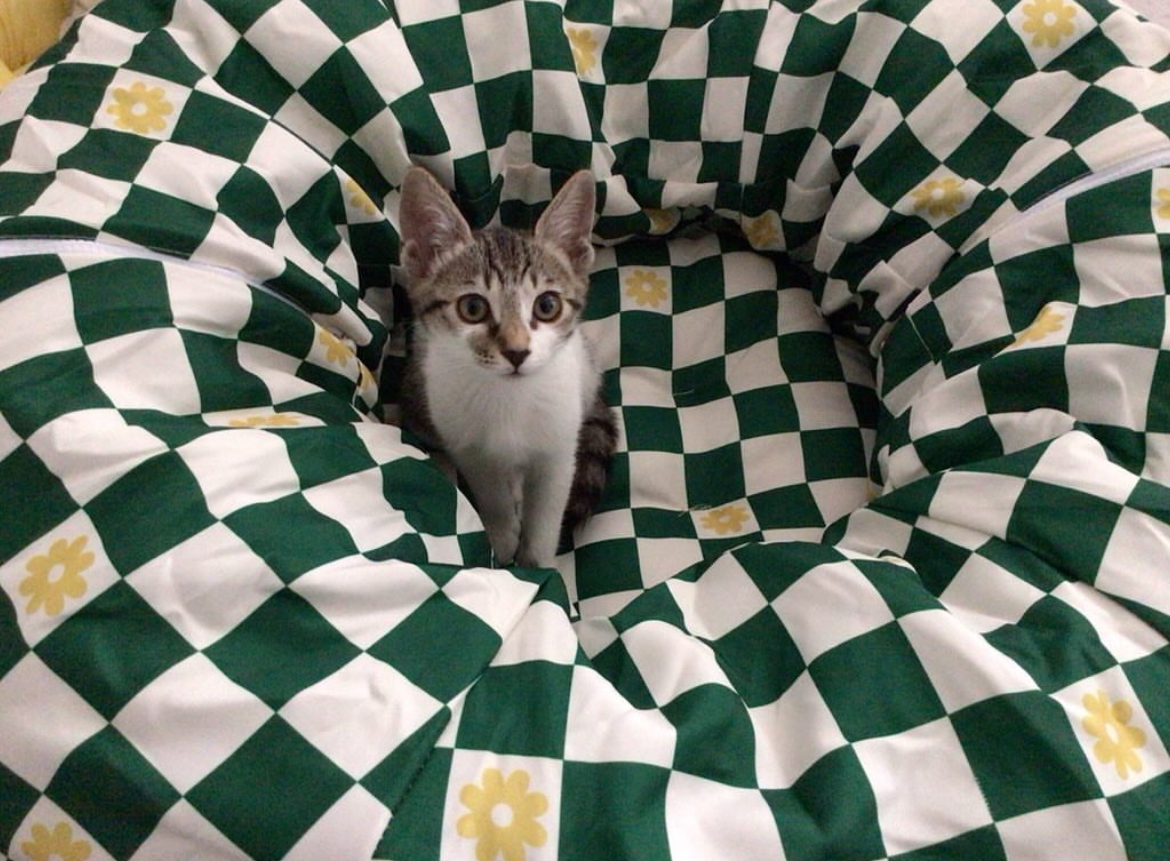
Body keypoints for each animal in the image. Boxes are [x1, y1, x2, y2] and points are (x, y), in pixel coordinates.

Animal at [397, 167, 617, 568]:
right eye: (472, 308)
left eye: (547, 306)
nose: (517, 351)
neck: (509, 399)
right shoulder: (469, 449)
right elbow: (492, 496)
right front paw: (501, 539)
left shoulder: (558, 451)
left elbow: (547, 514)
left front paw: (537, 566)